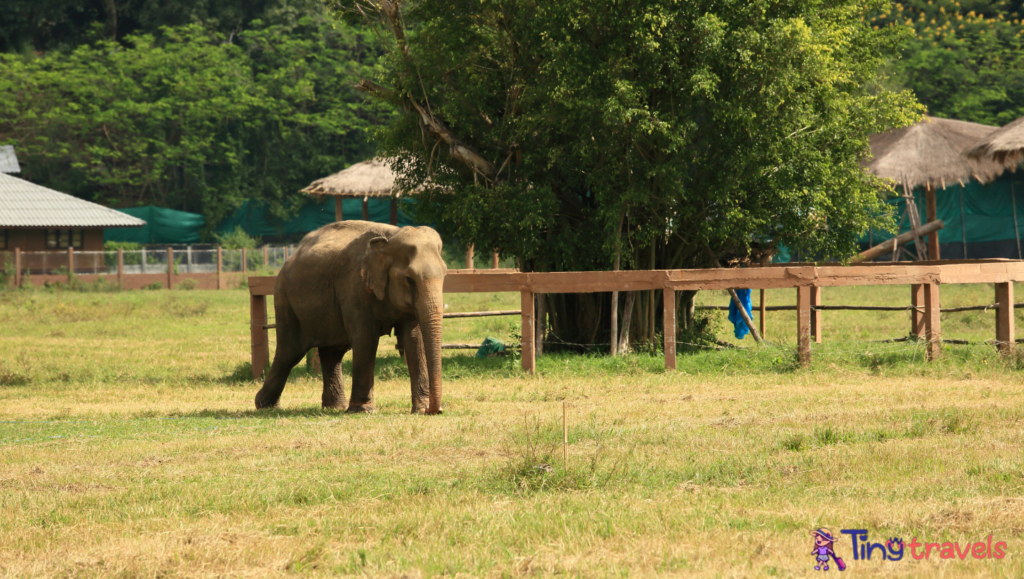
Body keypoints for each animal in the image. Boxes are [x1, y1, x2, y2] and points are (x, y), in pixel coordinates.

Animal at [253, 221, 446, 416]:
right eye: (409, 279)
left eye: (445, 275)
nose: (436, 410)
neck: (390, 237)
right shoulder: (354, 287)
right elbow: (366, 339)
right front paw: (364, 410)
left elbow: (414, 340)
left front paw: (420, 409)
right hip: (285, 301)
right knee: (289, 352)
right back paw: (265, 405)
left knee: (331, 352)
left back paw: (335, 406)